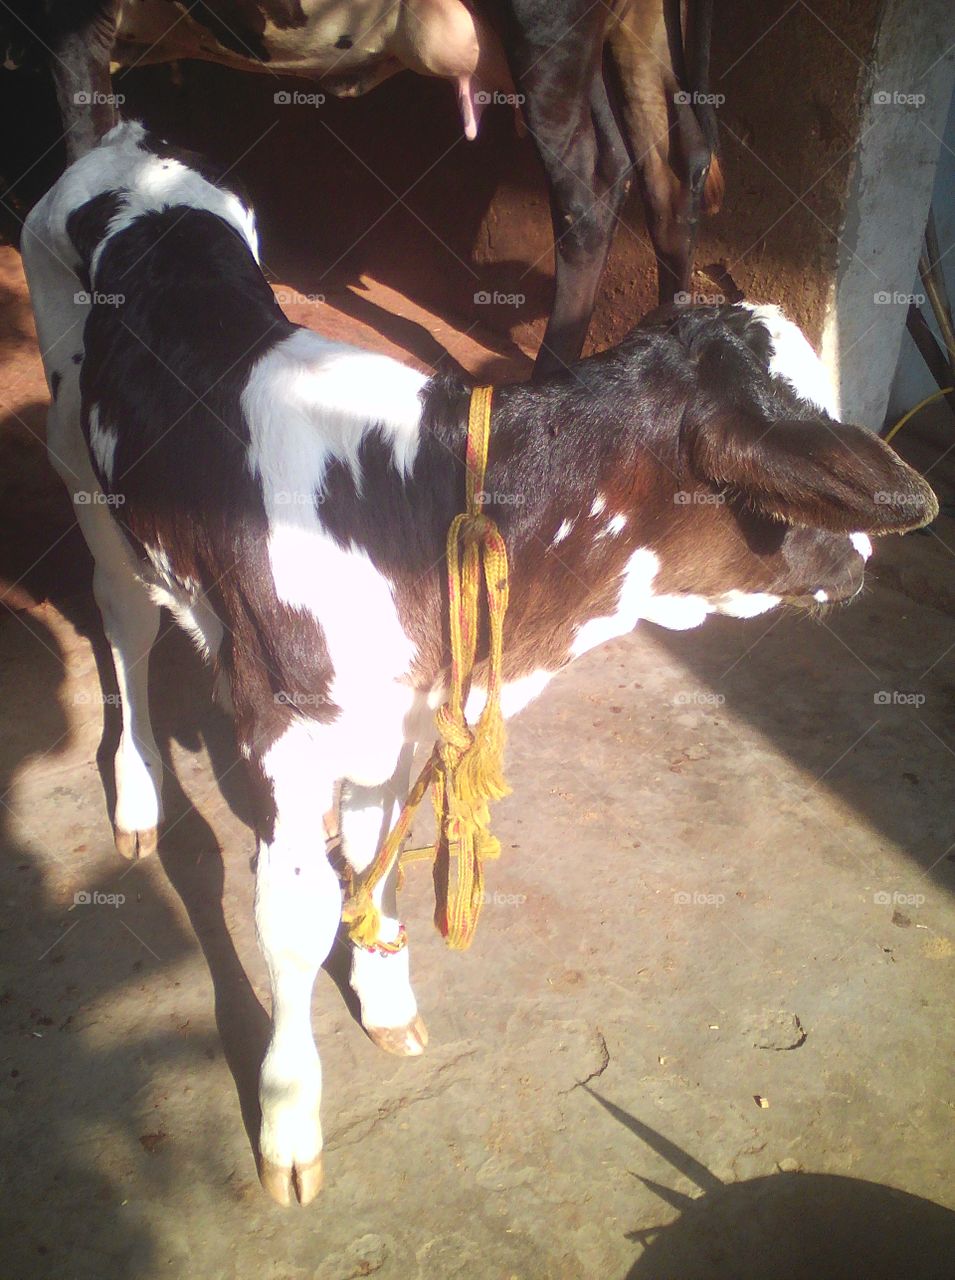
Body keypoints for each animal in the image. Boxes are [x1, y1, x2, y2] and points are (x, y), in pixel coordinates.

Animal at [7, 0, 723, 375]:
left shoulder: (70, 22)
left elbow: (84, 145)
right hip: (632, 34)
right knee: (665, 171)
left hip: (548, 33)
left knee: (591, 186)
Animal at [22, 122, 934, 1205]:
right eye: (810, 454)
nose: (869, 552)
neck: (416, 504)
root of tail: (129, 146)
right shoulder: (284, 728)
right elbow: (291, 920)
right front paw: (288, 1119)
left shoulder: (400, 724)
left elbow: (376, 866)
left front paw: (385, 997)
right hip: (85, 478)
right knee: (123, 624)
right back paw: (136, 797)